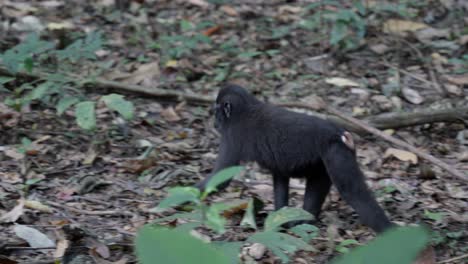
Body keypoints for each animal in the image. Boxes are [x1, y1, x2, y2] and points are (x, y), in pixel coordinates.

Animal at [198, 84, 394, 233]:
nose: (214, 122)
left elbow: (220, 179)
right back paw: (306, 221)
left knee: (354, 192)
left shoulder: (232, 134)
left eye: (216, 112)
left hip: (336, 152)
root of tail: (339, 134)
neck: (246, 108)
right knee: (320, 179)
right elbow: (280, 177)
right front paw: (280, 219)